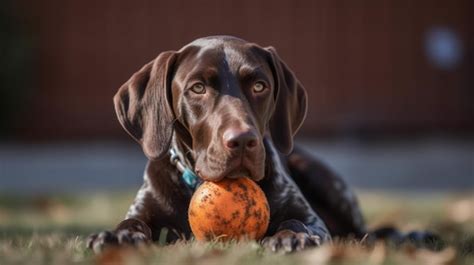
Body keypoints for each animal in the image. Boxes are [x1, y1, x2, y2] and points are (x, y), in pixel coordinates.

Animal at [86, 35, 434, 252]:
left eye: (259, 86)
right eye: (197, 88)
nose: (242, 140)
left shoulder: (312, 219)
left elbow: (299, 222)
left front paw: (292, 237)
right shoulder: (145, 210)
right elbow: (133, 222)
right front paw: (117, 236)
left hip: (322, 178)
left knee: (368, 234)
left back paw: (413, 235)